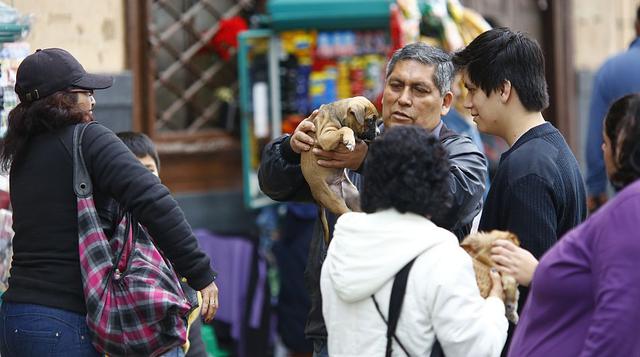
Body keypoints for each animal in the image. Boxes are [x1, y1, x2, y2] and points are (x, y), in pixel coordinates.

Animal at [302, 96, 378, 243]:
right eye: (370, 120)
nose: (378, 133)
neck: (337, 114)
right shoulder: (325, 136)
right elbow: (345, 130)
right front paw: (350, 140)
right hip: (333, 201)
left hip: (354, 195)